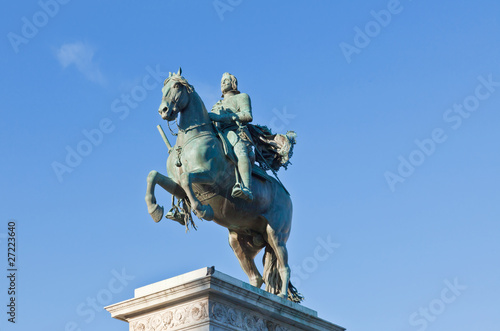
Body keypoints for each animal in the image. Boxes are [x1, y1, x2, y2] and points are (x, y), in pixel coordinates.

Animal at [143, 69, 302, 304]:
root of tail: (287, 197)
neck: (190, 141)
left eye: (177, 86)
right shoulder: (176, 186)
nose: (164, 110)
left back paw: (281, 296)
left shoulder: (211, 176)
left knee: (284, 266)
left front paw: (202, 209)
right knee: (257, 277)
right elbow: (153, 176)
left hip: (276, 235)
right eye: (164, 87)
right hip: (239, 240)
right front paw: (155, 209)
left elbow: (187, 178)